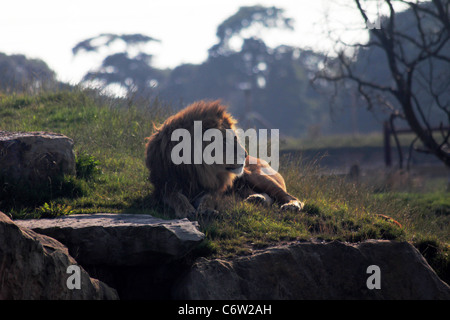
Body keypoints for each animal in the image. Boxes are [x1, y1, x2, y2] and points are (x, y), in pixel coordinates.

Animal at [146, 100, 304, 219]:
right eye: (224, 140)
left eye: (234, 137)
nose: (245, 154)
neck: (195, 168)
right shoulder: (164, 186)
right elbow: (177, 197)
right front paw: (187, 210)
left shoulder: (217, 188)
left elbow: (209, 197)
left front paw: (206, 209)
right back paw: (257, 199)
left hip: (256, 176)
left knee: (289, 196)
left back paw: (290, 206)